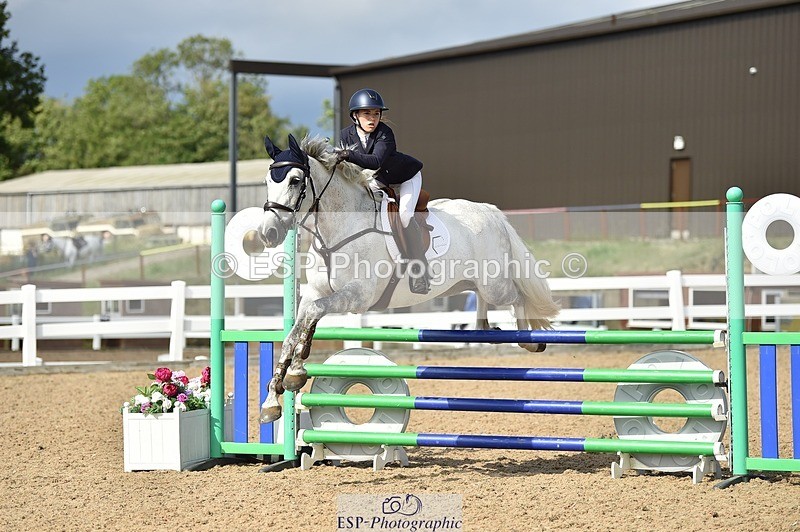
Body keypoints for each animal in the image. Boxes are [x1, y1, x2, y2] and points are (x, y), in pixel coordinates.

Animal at [258, 134, 559, 422]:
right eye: (268, 182)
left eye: (295, 180)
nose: (268, 233)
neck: (341, 229)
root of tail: (490, 211)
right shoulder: (316, 291)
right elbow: (297, 328)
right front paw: (276, 397)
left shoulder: (358, 296)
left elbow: (313, 313)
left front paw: (294, 373)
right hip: (476, 282)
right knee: (484, 301)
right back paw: (485, 327)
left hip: (495, 284)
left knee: (518, 298)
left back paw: (528, 339)